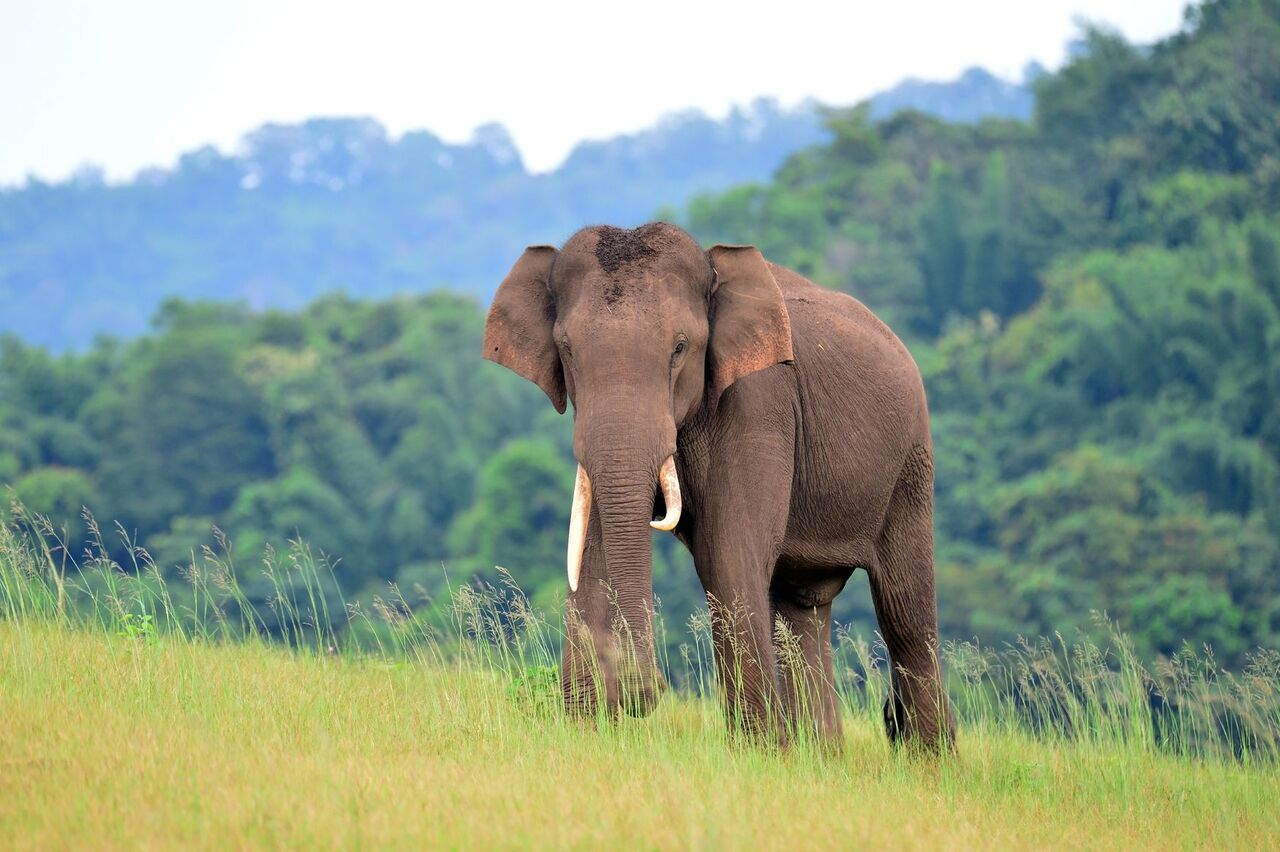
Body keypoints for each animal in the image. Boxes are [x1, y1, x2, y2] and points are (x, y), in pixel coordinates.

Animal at [483, 222, 957, 747]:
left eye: (679, 347)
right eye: (567, 350)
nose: (644, 692)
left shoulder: (760, 400)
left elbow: (725, 553)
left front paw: (759, 751)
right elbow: (590, 549)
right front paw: (585, 728)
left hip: (911, 466)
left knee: (904, 611)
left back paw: (931, 760)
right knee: (802, 606)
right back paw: (822, 754)